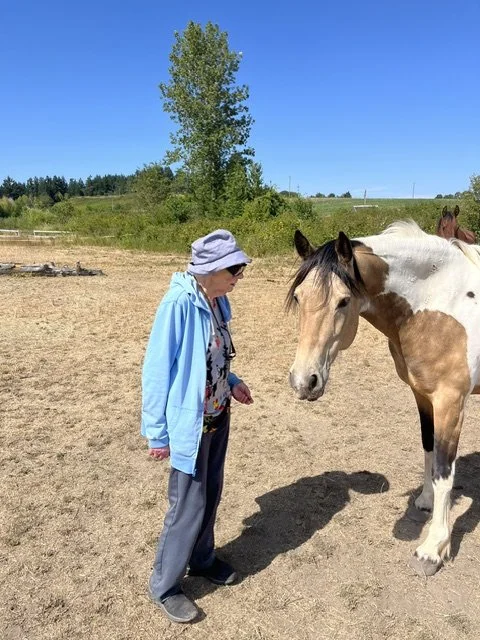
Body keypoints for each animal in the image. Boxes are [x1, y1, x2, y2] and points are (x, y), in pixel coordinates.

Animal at [287, 221, 480, 575]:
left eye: (343, 301)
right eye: (298, 296)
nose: (303, 381)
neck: (441, 302)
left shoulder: (450, 402)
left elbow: (444, 471)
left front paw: (433, 549)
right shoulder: (422, 395)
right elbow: (428, 448)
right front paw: (425, 501)